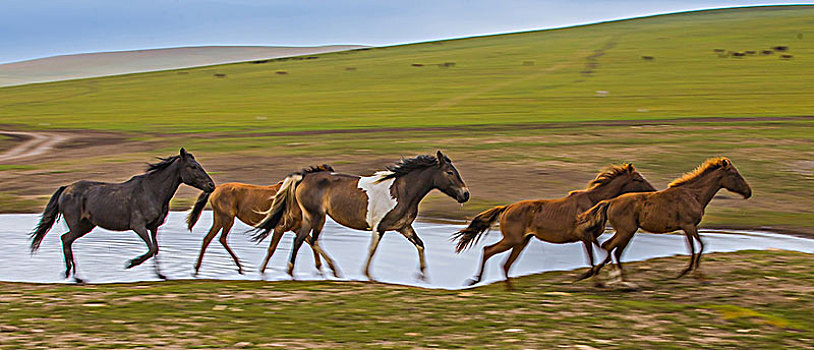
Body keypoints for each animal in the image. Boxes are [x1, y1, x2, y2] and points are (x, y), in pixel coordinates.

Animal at [29, 148, 217, 282]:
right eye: (193, 167)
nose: (211, 185)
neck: (153, 191)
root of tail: (65, 189)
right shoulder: (138, 226)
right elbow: (151, 248)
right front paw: (130, 264)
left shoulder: (153, 227)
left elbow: (155, 249)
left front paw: (161, 275)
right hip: (77, 226)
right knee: (65, 239)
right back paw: (72, 274)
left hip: (85, 226)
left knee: (66, 240)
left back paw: (73, 274)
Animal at [186, 164, 340, 276]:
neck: (294, 195)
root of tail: (215, 189)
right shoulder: (280, 227)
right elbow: (272, 249)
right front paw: (262, 271)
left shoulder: (296, 228)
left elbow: (313, 244)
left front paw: (328, 269)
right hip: (226, 219)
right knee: (216, 238)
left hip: (221, 219)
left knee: (212, 239)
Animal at [253, 151, 472, 282]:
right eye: (450, 172)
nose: (466, 194)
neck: (401, 192)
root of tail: (304, 177)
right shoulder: (378, 228)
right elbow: (372, 251)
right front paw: (368, 275)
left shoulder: (404, 227)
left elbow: (420, 244)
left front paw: (423, 276)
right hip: (315, 216)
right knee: (301, 239)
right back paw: (294, 273)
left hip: (315, 218)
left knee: (310, 240)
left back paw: (330, 271)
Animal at [452, 164, 656, 290]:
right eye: (638, 179)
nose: (653, 191)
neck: (593, 201)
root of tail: (507, 208)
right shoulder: (585, 237)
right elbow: (594, 257)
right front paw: (591, 279)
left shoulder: (592, 237)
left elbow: (602, 254)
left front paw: (597, 279)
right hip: (512, 240)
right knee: (488, 250)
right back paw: (475, 280)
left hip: (521, 242)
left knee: (505, 264)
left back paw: (510, 288)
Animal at [580, 157, 752, 284]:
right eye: (735, 175)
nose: (748, 192)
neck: (694, 195)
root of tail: (610, 202)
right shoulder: (689, 226)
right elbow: (698, 246)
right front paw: (694, 274)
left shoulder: (689, 227)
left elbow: (695, 247)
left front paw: (690, 272)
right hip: (626, 231)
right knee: (610, 247)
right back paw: (611, 278)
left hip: (627, 232)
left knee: (613, 249)